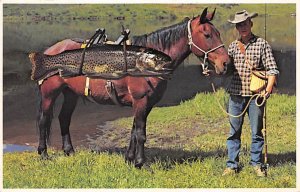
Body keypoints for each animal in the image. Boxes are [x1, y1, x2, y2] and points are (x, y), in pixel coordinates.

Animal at [34, 7, 230, 166]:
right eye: (207, 35)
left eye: (218, 33)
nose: (225, 63)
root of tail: (49, 52)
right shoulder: (140, 100)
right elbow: (141, 133)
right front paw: (140, 162)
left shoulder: (145, 103)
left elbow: (134, 131)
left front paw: (129, 159)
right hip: (50, 93)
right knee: (44, 120)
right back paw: (43, 153)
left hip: (71, 93)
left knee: (64, 118)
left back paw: (69, 151)